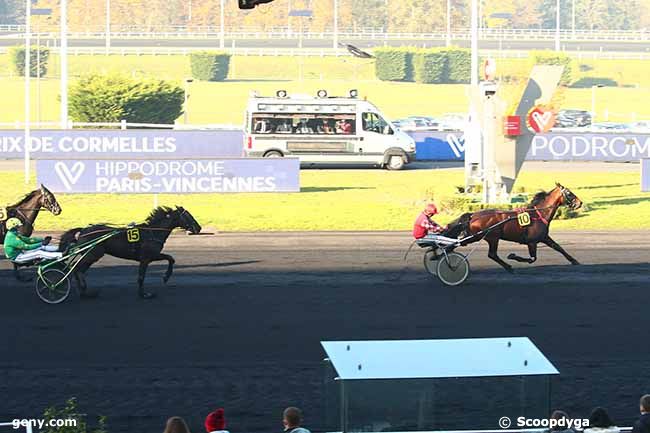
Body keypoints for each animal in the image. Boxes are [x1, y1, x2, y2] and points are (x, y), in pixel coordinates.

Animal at [61, 205, 202, 298]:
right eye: (188, 216)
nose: (199, 228)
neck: (152, 232)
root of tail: (83, 230)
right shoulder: (147, 257)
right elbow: (142, 276)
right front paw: (145, 293)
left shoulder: (151, 256)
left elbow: (170, 258)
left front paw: (165, 277)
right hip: (92, 254)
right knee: (76, 269)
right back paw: (83, 290)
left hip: (91, 255)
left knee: (78, 270)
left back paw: (84, 291)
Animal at [450, 183, 584, 272]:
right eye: (569, 193)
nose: (580, 203)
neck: (538, 214)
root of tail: (473, 215)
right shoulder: (532, 242)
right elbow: (532, 258)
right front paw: (513, 256)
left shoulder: (544, 237)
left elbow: (558, 247)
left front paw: (574, 261)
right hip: (489, 237)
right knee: (491, 254)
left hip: (482, 237)